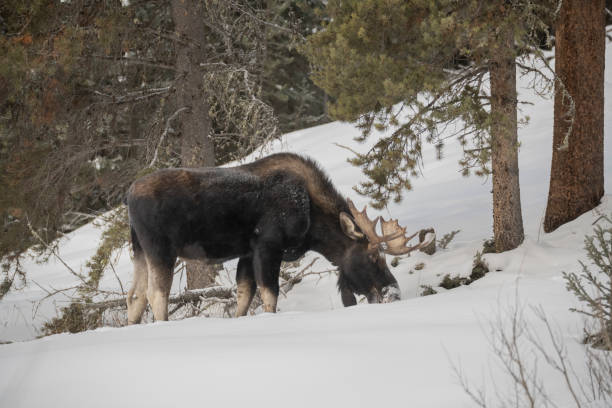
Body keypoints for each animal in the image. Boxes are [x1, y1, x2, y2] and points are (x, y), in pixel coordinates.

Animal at [124, 151, 432, 324]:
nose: (394, 293)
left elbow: (244, 297)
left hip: (138, 249)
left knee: (134, 296)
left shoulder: (247, 252)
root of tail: (127, 195)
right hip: (160, 248)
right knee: (156, 293)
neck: (313, 225)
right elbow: (269, 295)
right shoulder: (268, 245)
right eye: (374, 257)